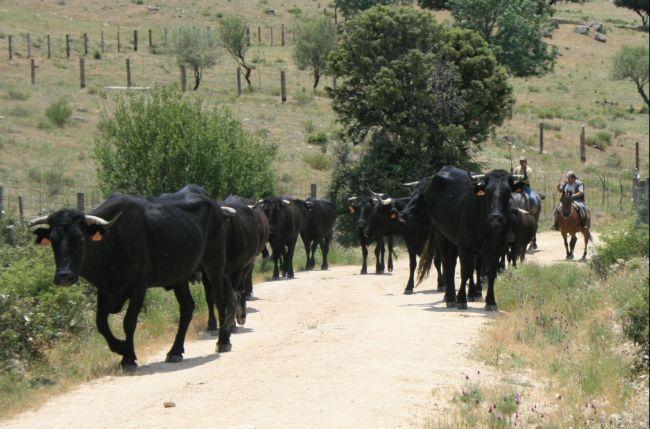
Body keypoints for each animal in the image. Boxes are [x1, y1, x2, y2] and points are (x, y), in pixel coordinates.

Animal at [29, 185, 238, 368]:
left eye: (80, 238)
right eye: (53, 240)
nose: (64, 276)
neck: (112, 239)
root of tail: (215, 205)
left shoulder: (138, 286)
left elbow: (128, 322)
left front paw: (128, 357)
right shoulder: (104, 289)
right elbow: (101, 324)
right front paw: (120, 348)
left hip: (214, 265)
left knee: (219, 300)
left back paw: (223, 341)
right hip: (180, 276)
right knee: (187, 307)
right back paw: (175, 351)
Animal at [400, 166, 520, 310]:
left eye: (507, 192)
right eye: (486, 191)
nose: (495, 217)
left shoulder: (497, 247)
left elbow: (490, 272)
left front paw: (490, 301)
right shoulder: (464, 245)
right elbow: (465, 271)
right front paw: (462, 299)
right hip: (441, 235)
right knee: (449, 266)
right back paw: (450, 297)